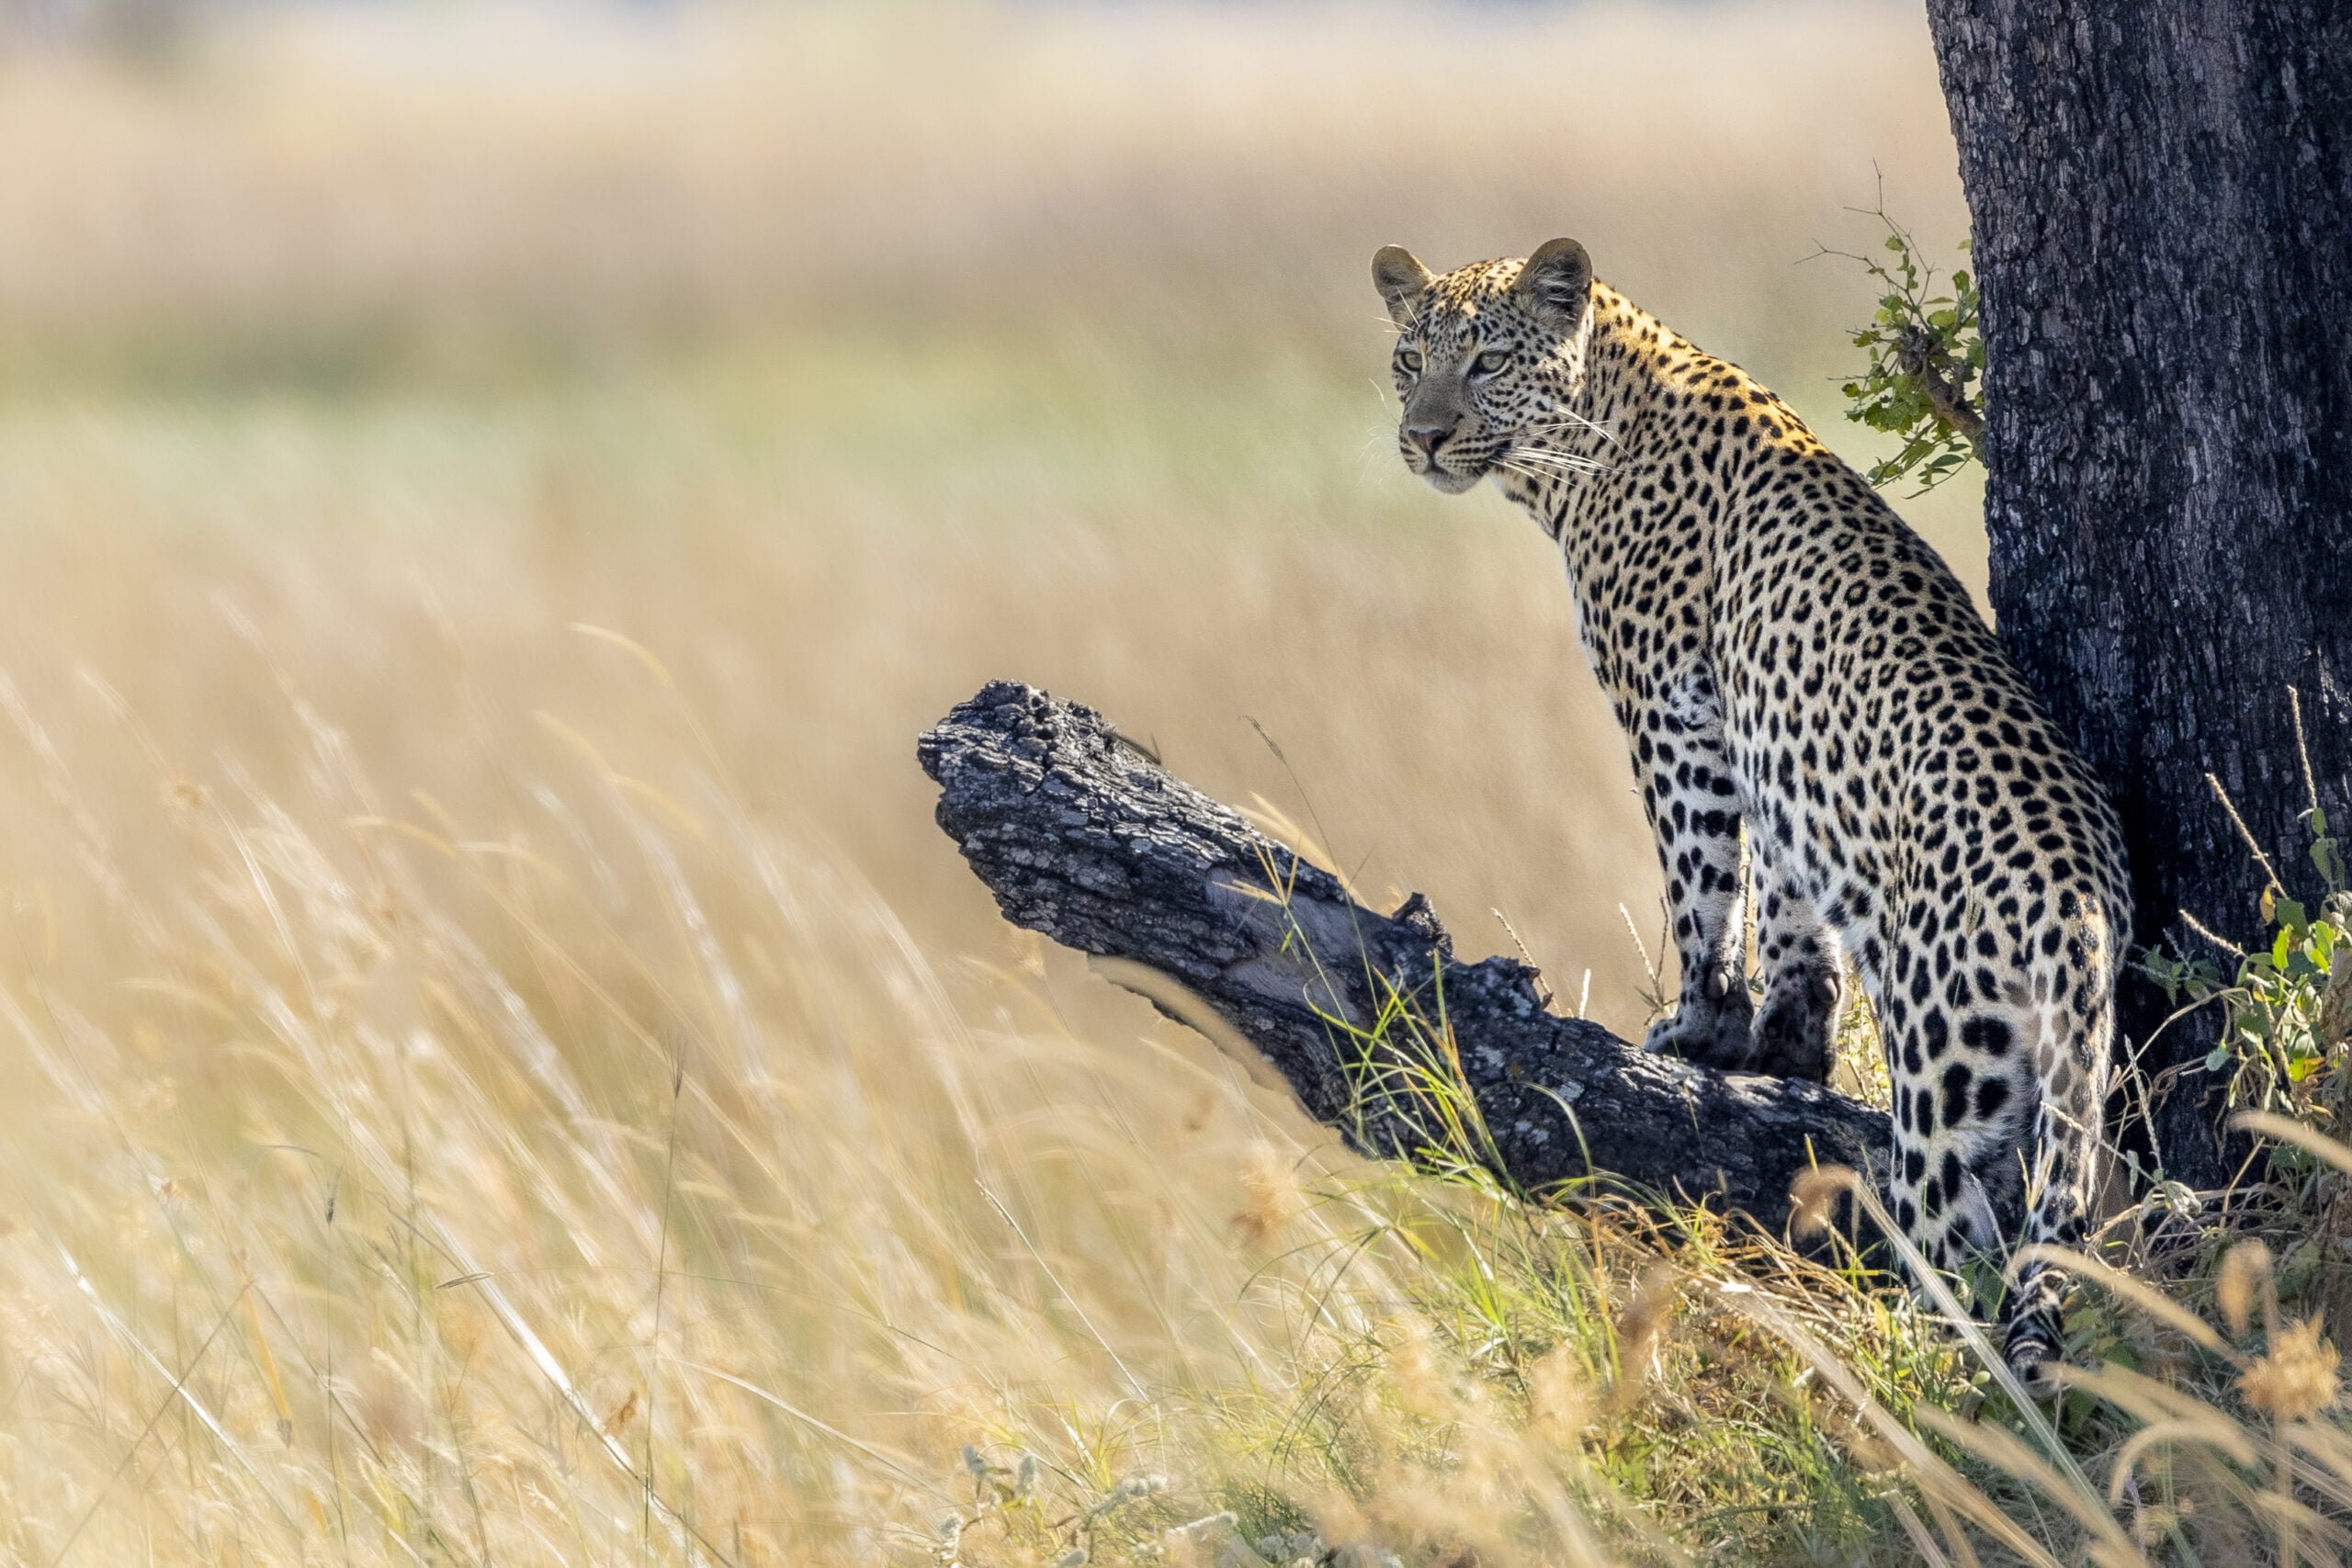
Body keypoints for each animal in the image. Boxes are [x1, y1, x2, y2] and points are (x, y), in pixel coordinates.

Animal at [1374, 236, 2135, 1382]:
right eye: (1408, 358)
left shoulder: (1671, 714)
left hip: (1944, 1084)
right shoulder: (1772, 749)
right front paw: (1785, 1042)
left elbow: (1700, 886)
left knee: (1957, 1261)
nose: (1421, 437)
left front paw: (1701, 1027)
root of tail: (2079, 901)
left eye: (1485, 362)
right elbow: (1785, 898)